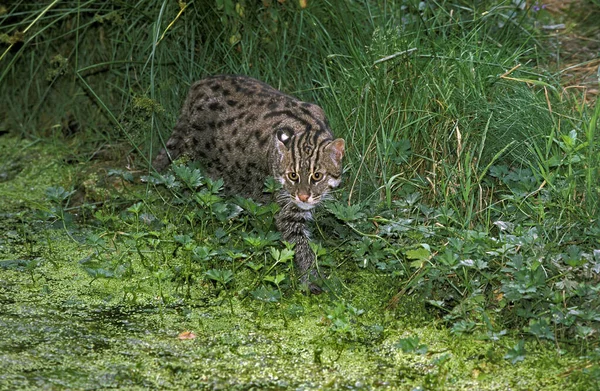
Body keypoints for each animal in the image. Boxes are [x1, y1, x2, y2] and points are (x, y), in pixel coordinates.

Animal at [152, 75, 344, 292]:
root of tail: (199, 85)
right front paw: (312, 278)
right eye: (292, 176)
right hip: (195, 161)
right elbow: (301, 245)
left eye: (317, 176)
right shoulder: (287, 208)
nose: (303, 196)